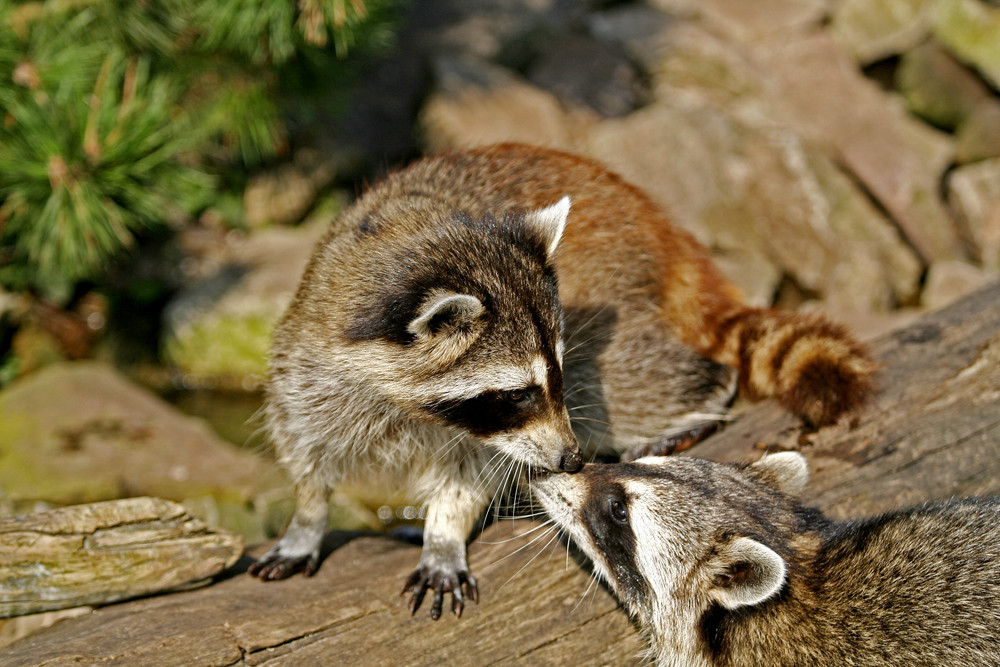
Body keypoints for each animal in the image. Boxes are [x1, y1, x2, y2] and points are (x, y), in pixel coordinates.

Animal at [250, 142, 876, 620]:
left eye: (554, 376)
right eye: (516, 394)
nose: (572, 459)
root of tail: (664, 233)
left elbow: (469, 474)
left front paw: (444, 532)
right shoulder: (308, 358)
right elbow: (304, 447)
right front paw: (307, 518)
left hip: (616, 311)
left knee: (636, 384)